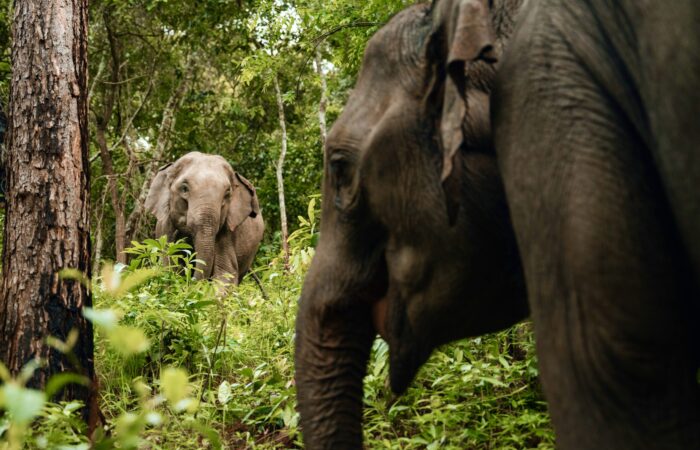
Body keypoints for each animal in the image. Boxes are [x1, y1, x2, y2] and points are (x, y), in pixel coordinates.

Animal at [145, 151, 264, 285]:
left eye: (227, 193)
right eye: (184, 188)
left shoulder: (227, 231)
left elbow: (226, 273)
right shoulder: (164, 228)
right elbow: (168, 267)